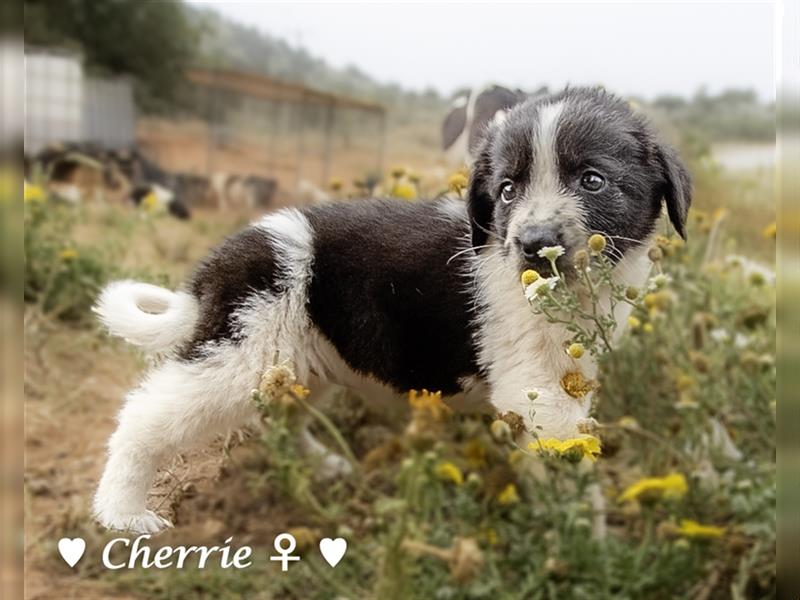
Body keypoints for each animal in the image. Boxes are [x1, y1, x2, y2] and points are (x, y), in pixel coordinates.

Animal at [94, 86, 692, 532]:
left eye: (592, 180)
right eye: (506, 190)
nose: (533, 244)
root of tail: (214, 269)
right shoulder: (541, 392)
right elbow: (571, 461)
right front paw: (583, 545)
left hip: (297, 361)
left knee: (283, 416)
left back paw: (322, 463)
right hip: (241, 350)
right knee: (145, 415)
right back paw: (122, 512)